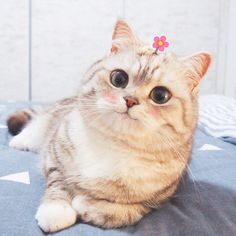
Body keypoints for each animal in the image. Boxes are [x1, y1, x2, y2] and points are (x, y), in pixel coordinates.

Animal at [6, 19, 210, 232]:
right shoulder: (55, 154)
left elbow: (127, 212)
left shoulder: (157, 200)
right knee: (37, 123)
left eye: (160, 95)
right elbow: (57, 181)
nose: (130, 100)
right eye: (119, 78)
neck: (114, 144)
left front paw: (88, 204)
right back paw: (20, 140)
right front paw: (56, 210)